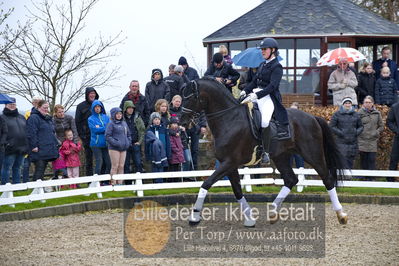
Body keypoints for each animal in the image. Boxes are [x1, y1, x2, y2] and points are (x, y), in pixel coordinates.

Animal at [183, 77, 348, 227]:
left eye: (190, 97)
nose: (182, 122)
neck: (229, 119)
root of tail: (313, 117)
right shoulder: (229, 165)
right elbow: (237, 191)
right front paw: (250, 219)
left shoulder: (229, 162)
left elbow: (206, 184)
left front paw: (194, 217)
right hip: (281, 156)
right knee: (291, 179)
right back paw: (273, 212)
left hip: (313, 154)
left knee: (327, 179)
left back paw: (341, 215)